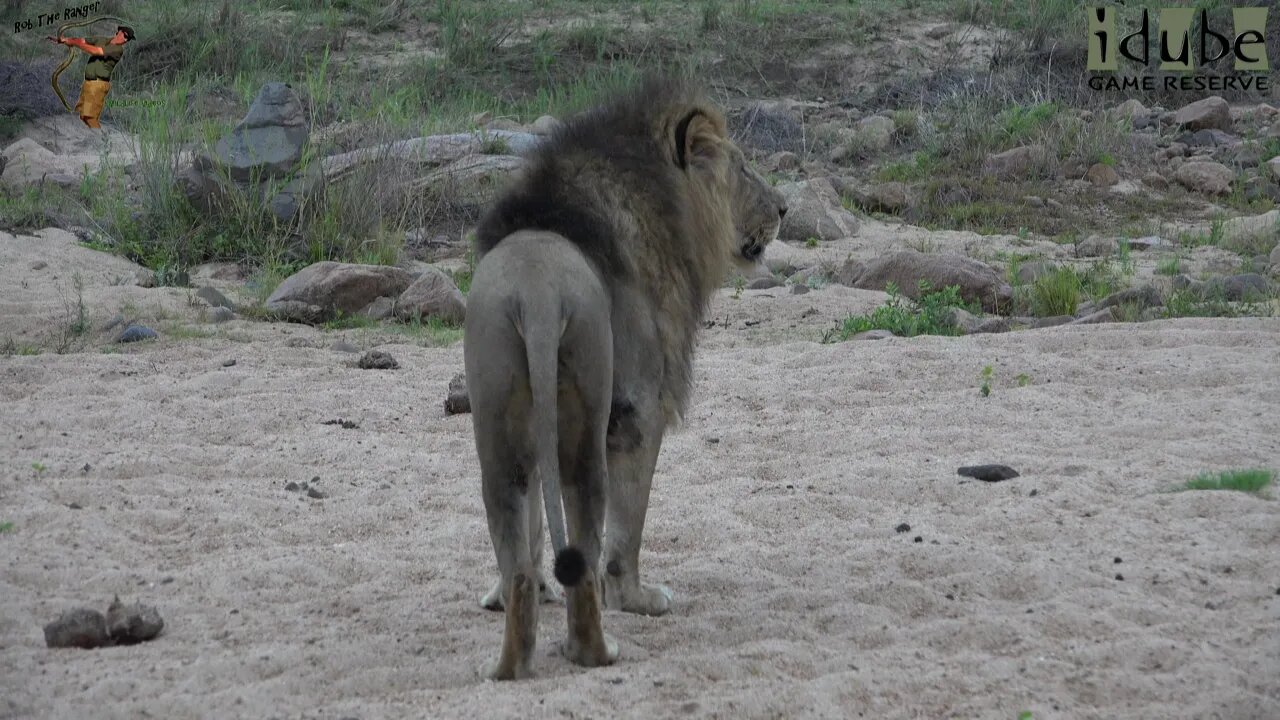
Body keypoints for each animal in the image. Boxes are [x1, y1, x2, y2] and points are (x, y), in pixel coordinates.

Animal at [465, 74, 783, 676]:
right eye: (742, 167)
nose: (784, 207)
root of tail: (535, 291)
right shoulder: (641, 408)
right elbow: (628, 526)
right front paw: (637, 599)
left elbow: (534, 531)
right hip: (587, 424)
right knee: (589, 548)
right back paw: (596, 649)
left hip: (494, 422)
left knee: (514, 542)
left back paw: (512, 658)